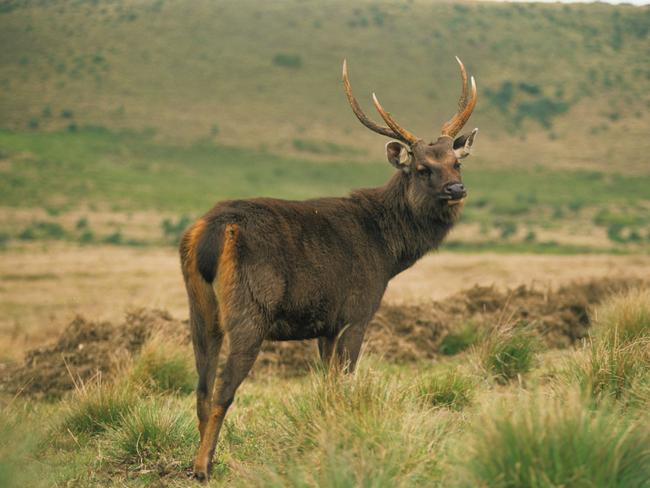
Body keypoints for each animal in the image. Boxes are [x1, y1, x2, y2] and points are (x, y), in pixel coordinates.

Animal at [177, 57, 476, 480]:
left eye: (456, 163)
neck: (388, 253)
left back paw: (201, 459)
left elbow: (327, 387)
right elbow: (345, 383)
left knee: (201, 388)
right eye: (422, 168)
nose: (456, 190)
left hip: (199, 308)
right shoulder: (357, 311)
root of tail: (212, 233)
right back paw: (204, 467)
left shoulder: (326, 324)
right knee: (222, 390)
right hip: (250, 309)